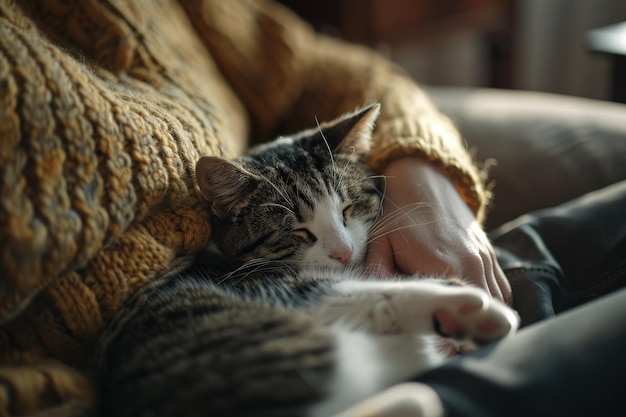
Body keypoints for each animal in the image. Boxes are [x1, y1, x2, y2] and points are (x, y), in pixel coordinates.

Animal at [96, 101, 516, 416]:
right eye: (298, 231)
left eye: (348, 208)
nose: (344, 252)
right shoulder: (279, 287)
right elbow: (364, 294)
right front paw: (470, 309)